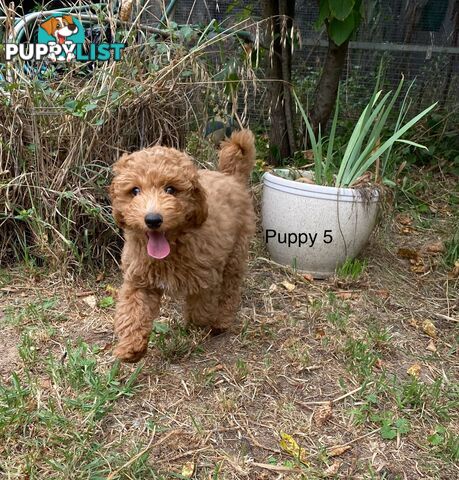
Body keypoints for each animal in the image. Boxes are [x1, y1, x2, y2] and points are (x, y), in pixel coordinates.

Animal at [110, 129, 256, 362]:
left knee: (230, 289)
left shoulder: (206, 277)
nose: (153, 219)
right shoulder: (139, 279)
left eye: (170, 189)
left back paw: (221, 321)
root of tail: (230, 177)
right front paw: (131, 348)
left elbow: (201, 306)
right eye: (135, 191)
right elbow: (133, 311)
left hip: (236, 250)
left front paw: (197, 324)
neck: (171, 246)